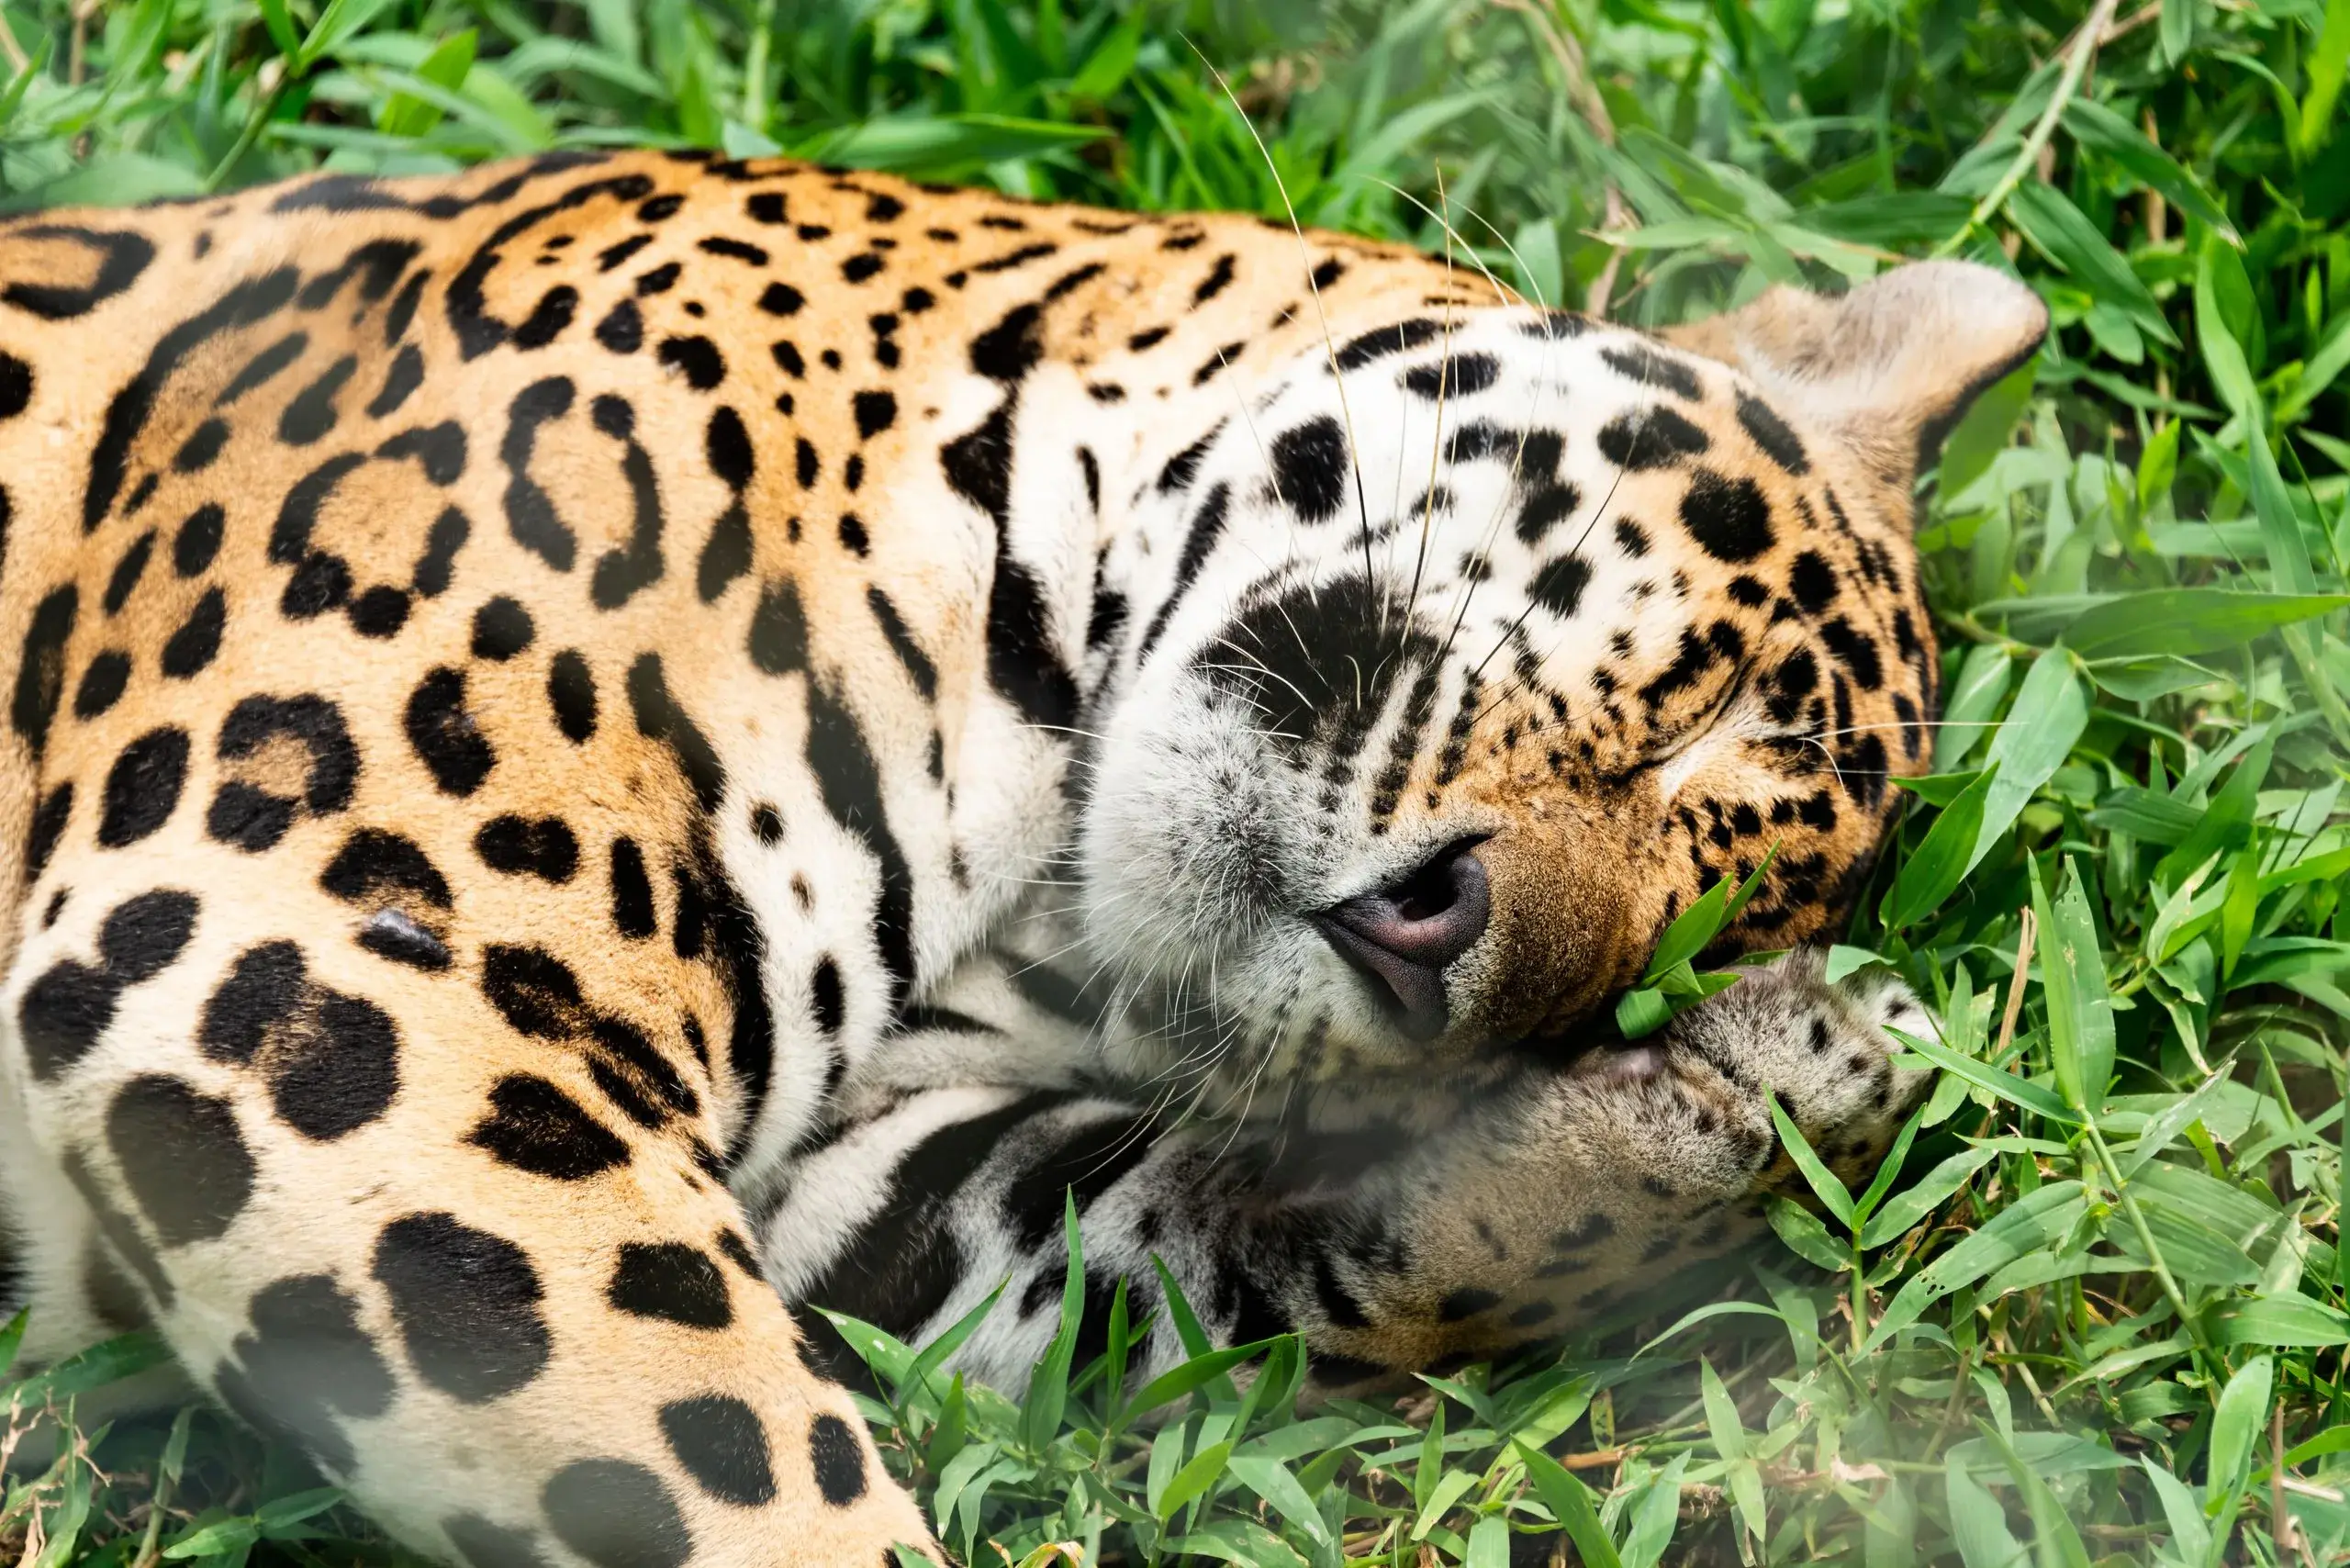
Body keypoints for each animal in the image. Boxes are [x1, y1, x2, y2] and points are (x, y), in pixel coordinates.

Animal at [0, 149, 2045, 1568]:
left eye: (1632, 984)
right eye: (1702, 705)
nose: (1430, 948)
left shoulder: (845, 1175)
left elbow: (1183, 1254)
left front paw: (1750, 1098)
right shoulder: (307, 945)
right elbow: (736, 1459)